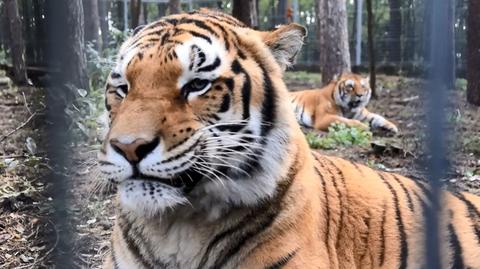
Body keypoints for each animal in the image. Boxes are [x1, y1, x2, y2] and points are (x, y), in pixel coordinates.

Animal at [99, 8, 480, 268]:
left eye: (197, 85)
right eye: (123, 88)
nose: (128, 147)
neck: (174, 229)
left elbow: (366, 118)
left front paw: (385, 126)